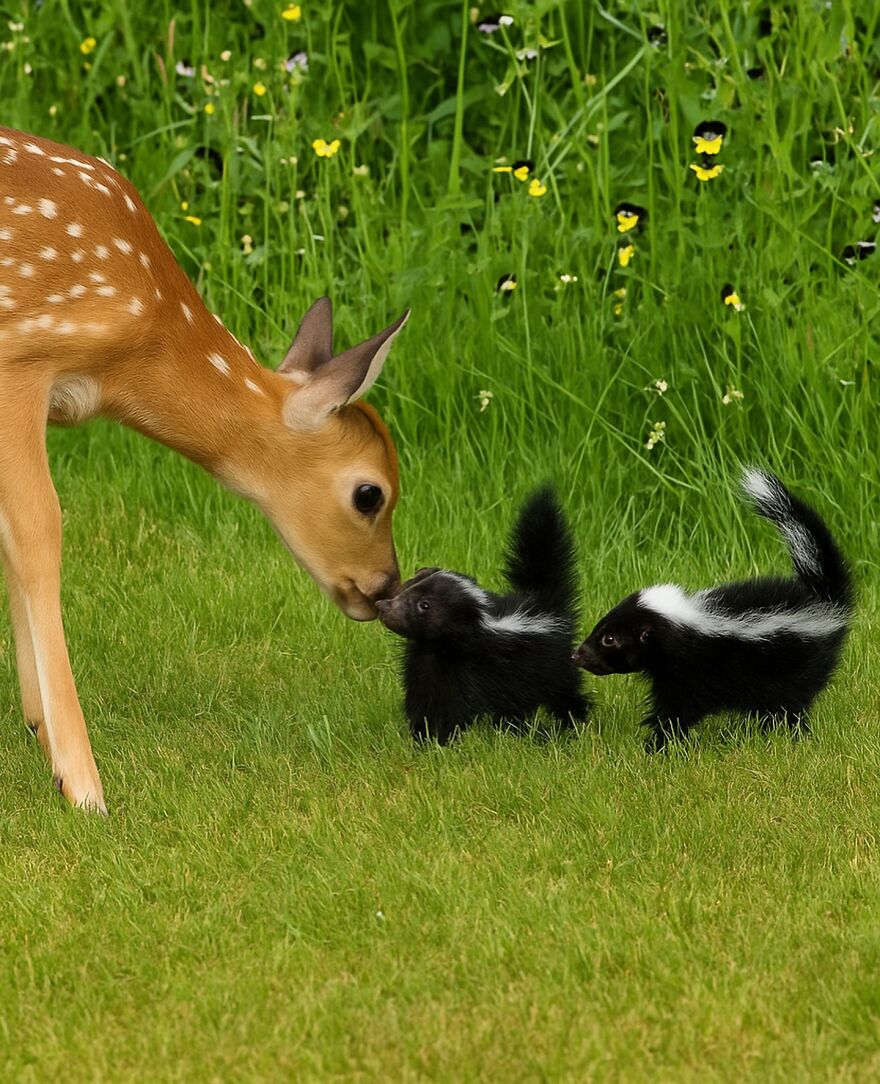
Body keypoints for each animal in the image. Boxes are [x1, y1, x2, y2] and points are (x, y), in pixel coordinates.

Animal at [0, 127, 409, 813]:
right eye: (370, 494)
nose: (386, 588)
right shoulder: (23, 356)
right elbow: (37, 530)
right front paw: (81, 782)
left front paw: (37, 726)